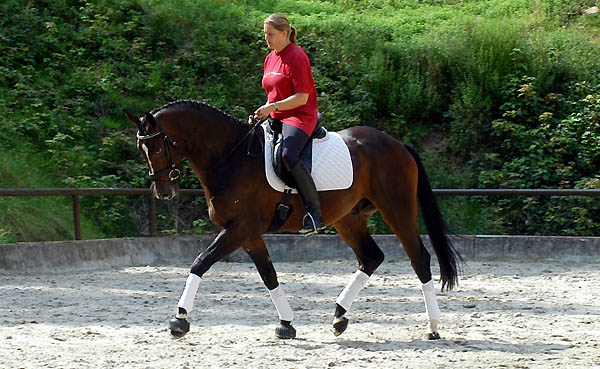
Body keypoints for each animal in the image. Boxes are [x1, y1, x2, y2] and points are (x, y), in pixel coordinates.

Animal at [124, 98, 462, 340]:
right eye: (141, 147)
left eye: (158, 145)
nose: (163, 191)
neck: (231, 158)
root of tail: (396, 144)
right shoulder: (249, 234)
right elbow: (269, 275)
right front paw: (286, 324)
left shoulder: (240, 229)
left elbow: (200, 262)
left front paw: (180, 318)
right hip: (348, 219)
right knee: (371, 257)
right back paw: (339, 316)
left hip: (397, 210)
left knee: (419, 259)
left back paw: (433, 327)